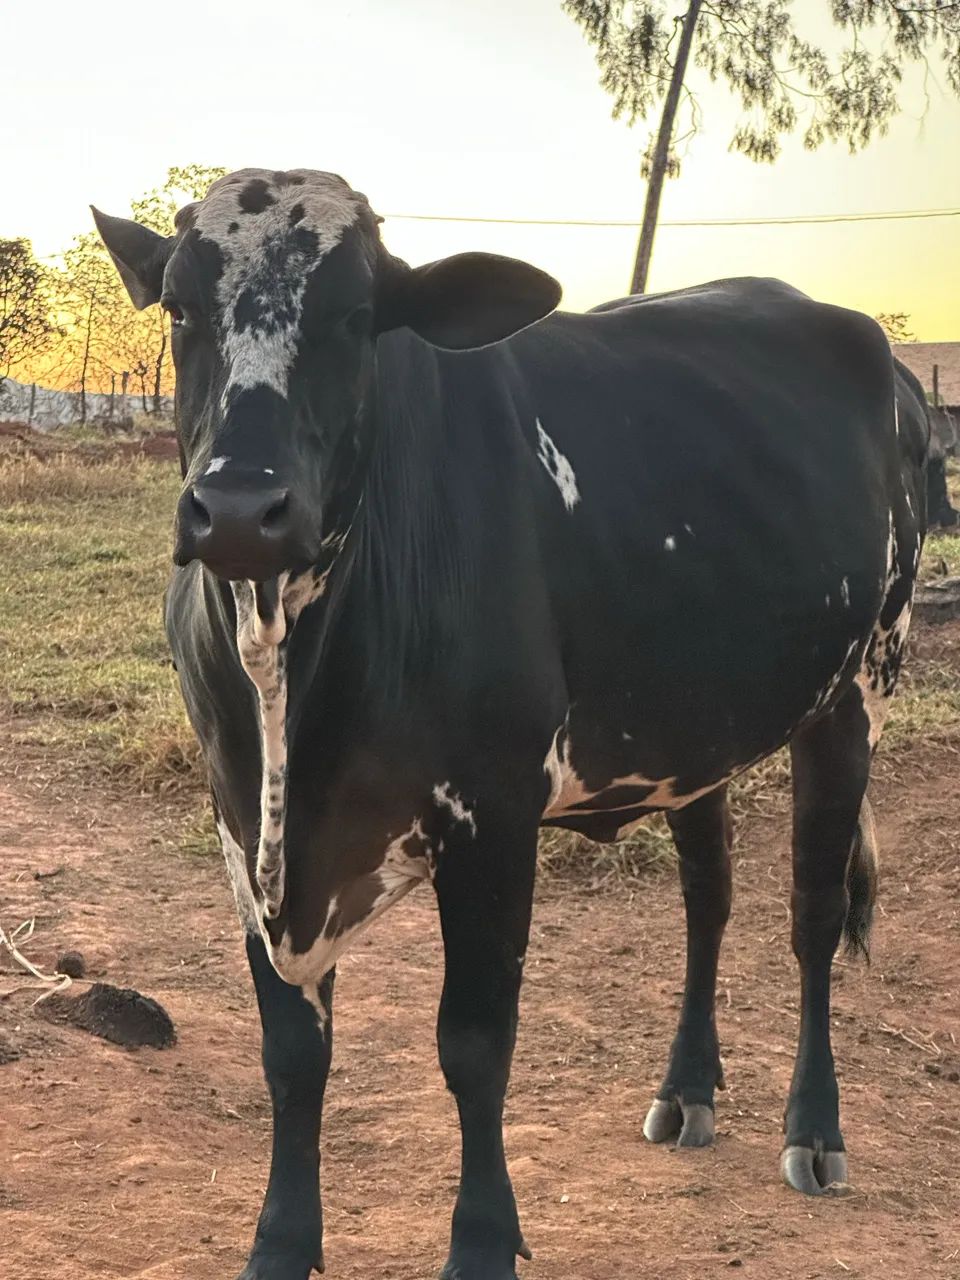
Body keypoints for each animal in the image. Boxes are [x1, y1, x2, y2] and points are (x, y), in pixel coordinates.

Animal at [93, 168, 927, 1280]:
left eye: (357, 316)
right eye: (181, 308)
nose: (237, 509)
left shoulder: (492, 818)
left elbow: (476, 1044)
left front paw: (484, 1239)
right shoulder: (241, 830)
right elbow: (293, 1052)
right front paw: (280, 1242)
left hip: (857, 689)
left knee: (813, 916)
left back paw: (815, 1128)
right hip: (691, 733)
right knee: (708, 897)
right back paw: (688, 1088)